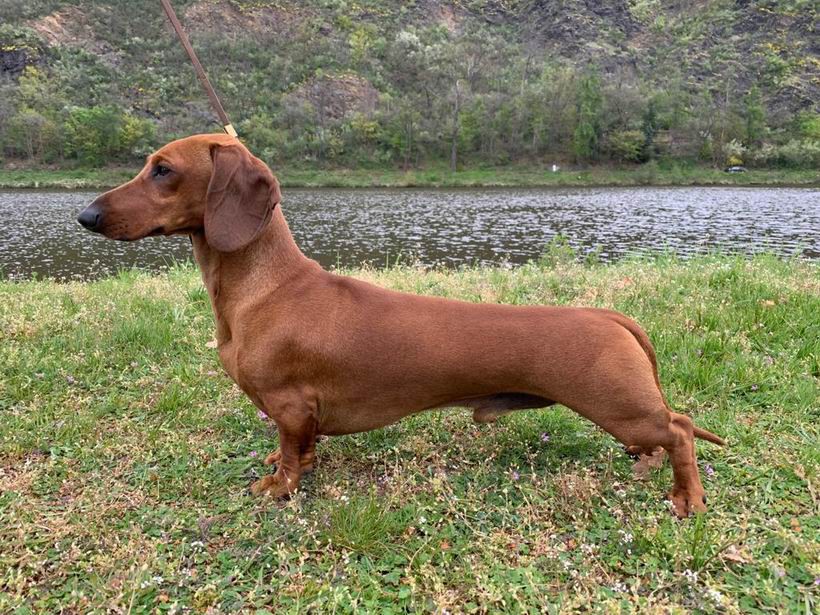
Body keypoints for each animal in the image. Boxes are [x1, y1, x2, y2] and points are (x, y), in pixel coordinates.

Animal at [77, 133, 724, 517]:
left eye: (163, 171)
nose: (85, 215)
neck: (268, 290)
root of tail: (607, 313)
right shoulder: (300, 417)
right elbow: (299, 450)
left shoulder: (289, 405)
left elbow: (289, 455)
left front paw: (278, 486)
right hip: (625, 412)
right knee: (664, 435)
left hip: (618, 405)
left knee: (680, 430)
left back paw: (687, 497)